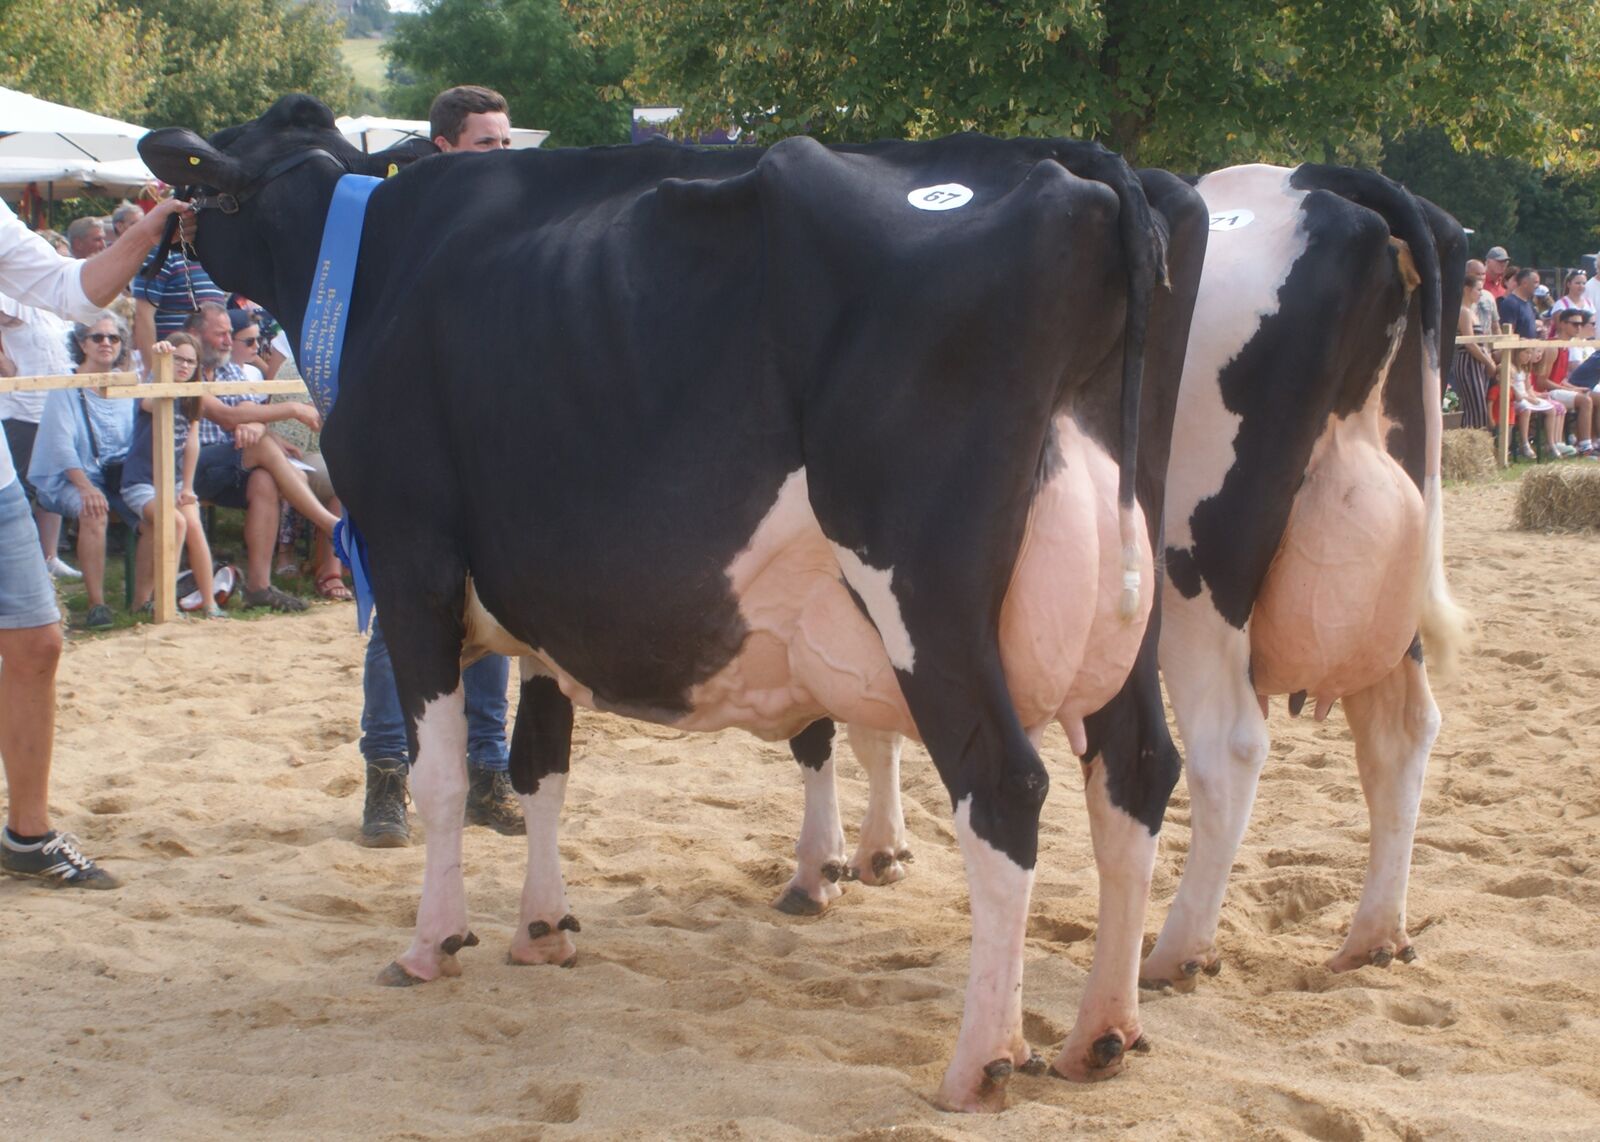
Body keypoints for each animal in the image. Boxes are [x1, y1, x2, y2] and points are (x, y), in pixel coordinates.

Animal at [144, 99, 1203, 1113]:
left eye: (216, 171)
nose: (163, 219)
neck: (371, 258)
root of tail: (1090, 165)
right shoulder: (549, 599)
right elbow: (539, 764)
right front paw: (542, 928)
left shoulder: (413, 563)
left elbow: (444, 777)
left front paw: (433, 943)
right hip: (1129, 598)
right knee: (1139, 771)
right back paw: (1102, 1033)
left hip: (924, 597)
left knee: (1006, 787)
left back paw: (981, 1062)